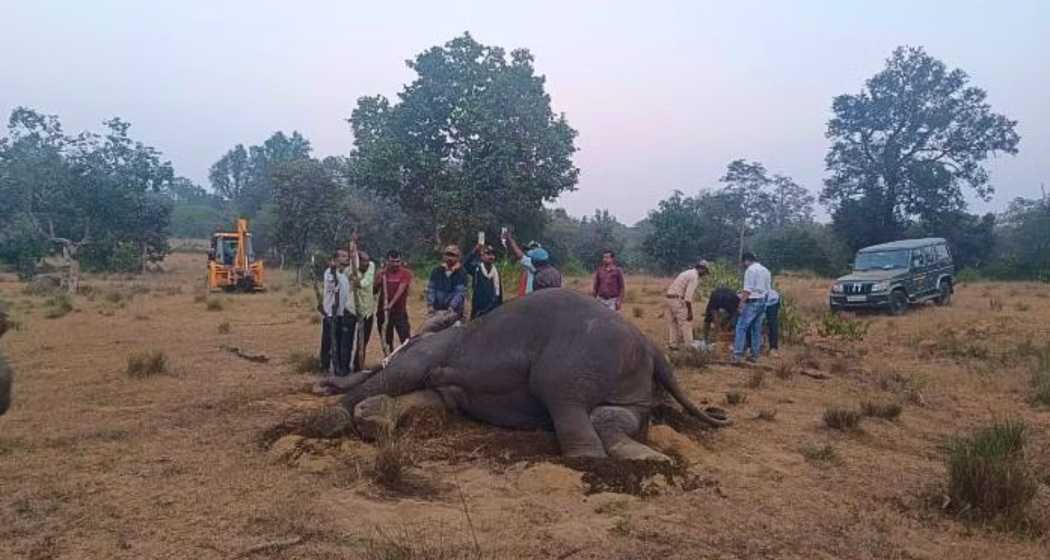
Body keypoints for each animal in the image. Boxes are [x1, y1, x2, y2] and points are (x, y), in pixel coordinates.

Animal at [315, 287, 730, 458]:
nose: (323, 383)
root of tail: (650, 345)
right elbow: (431, 396)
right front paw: (369, 417)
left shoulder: (430, 349)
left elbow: (406, 375)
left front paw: (334, 418)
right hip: (625, 378)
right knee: (611, 415)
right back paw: (646, 458)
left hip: (573, 360)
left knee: (563, 399)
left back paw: (591, 459)